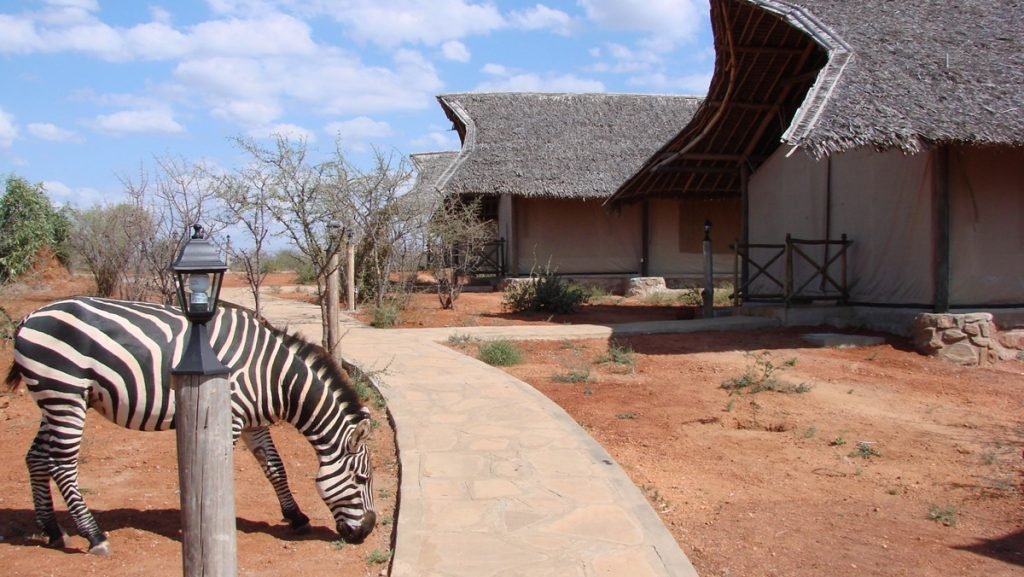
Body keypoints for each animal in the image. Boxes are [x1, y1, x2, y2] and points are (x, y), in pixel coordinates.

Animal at [6, 297, 374, 553]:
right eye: (362, 479)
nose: (367, 531)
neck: (274, 376)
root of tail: (29, 317)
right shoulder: (233, 416)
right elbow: (217, 469)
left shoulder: (254, 423)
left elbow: (275, 468)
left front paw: (296, 516)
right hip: (64, 393)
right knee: (62, 464)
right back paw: (93, 535)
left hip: (54, 398)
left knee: (36, 458)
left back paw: (53, 530)